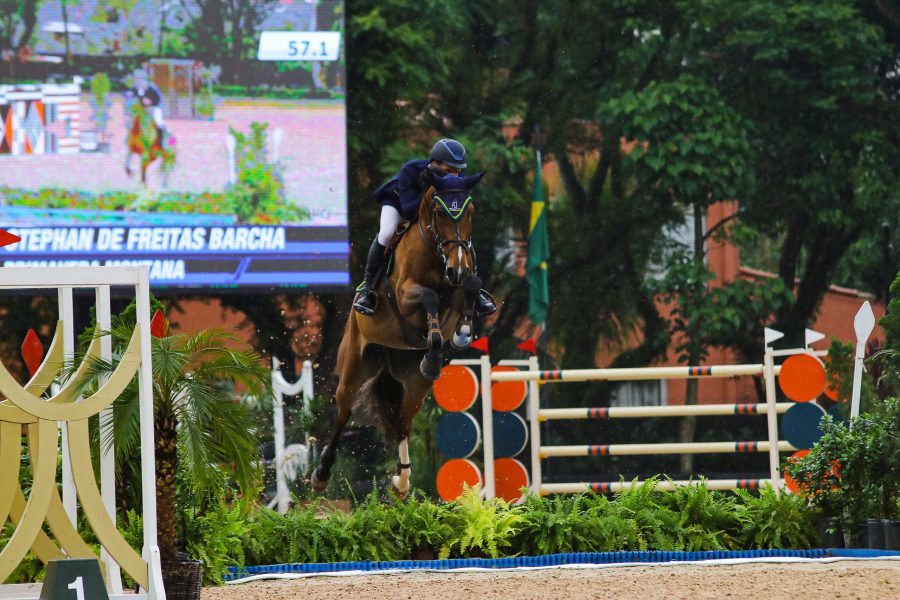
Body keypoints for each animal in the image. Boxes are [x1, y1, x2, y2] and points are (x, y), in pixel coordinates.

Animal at [314, 168, 488, 496]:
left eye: (471, 210)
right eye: (439, 212)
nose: (457, 269)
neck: (436, 253)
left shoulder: (458, 288)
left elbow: (470, 287)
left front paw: (462, 331)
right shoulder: (406, 294)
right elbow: (429, 297)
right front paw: (440, 338)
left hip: (413, 381)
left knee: (404, 420)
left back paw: (402, 479)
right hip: (354, 365)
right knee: (343, 412)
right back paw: (321, 473)